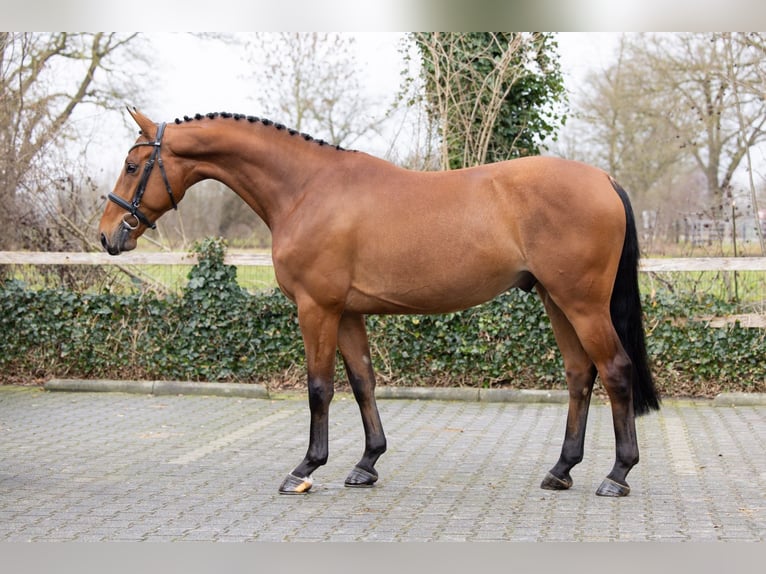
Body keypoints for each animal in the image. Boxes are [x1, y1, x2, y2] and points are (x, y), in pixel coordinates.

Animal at [99, 108, 660, 497]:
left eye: (132, 164)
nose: (107, 235)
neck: (307, 189)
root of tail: (603, 179)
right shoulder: (347, 312)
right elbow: (363, 382)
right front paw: (366, 464)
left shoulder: (316, 309)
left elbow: (320, 388)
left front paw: (305, 469)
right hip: (555, 300)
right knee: (579, 375)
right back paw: (561, 470)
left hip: (582, 303)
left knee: (615, 370)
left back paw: (617, 475)